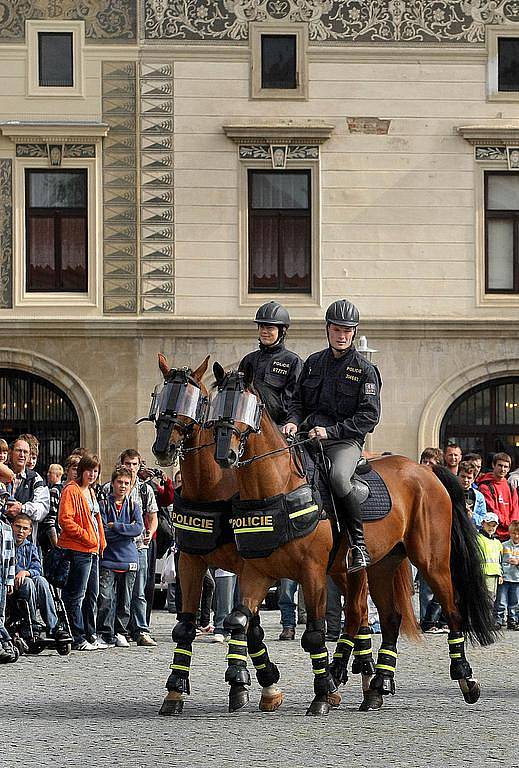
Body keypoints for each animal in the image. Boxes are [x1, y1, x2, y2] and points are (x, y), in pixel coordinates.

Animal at [211, 364, 500, 712]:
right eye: (214, 404)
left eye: (248, 406)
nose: (225, 454)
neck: (277, 488)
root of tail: (426, 471)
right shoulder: (257, 573)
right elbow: (239, 621)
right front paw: (250, 683)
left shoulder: (312, 573)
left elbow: (314, 634)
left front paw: (322, 693)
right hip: (381, 565)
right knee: (387, 618)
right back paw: (378, 686)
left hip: (431, 562)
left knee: (451, 609)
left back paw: (465, 679)